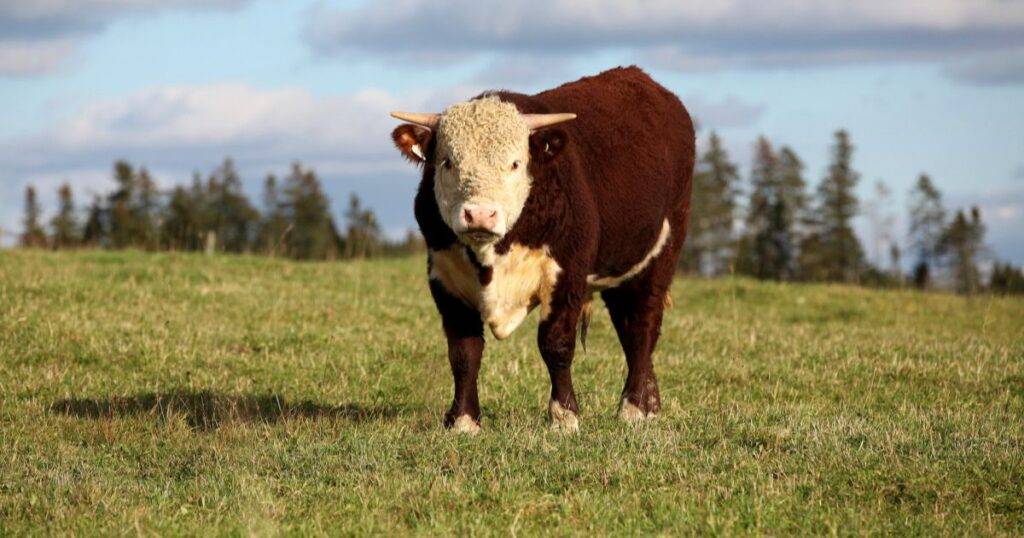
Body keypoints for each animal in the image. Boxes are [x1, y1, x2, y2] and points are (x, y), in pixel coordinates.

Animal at [389, 66, 695, 433]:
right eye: (447, 161)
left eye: (515, 163)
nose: (480, 214)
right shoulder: (444, 277)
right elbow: (463, 352)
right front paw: (463, 419)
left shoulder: (567, 273)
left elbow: (555, 344)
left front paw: (564, 416)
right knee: (628, 326)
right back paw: (649, 404)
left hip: (662, 252)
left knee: (642, 327)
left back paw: (633, 407)